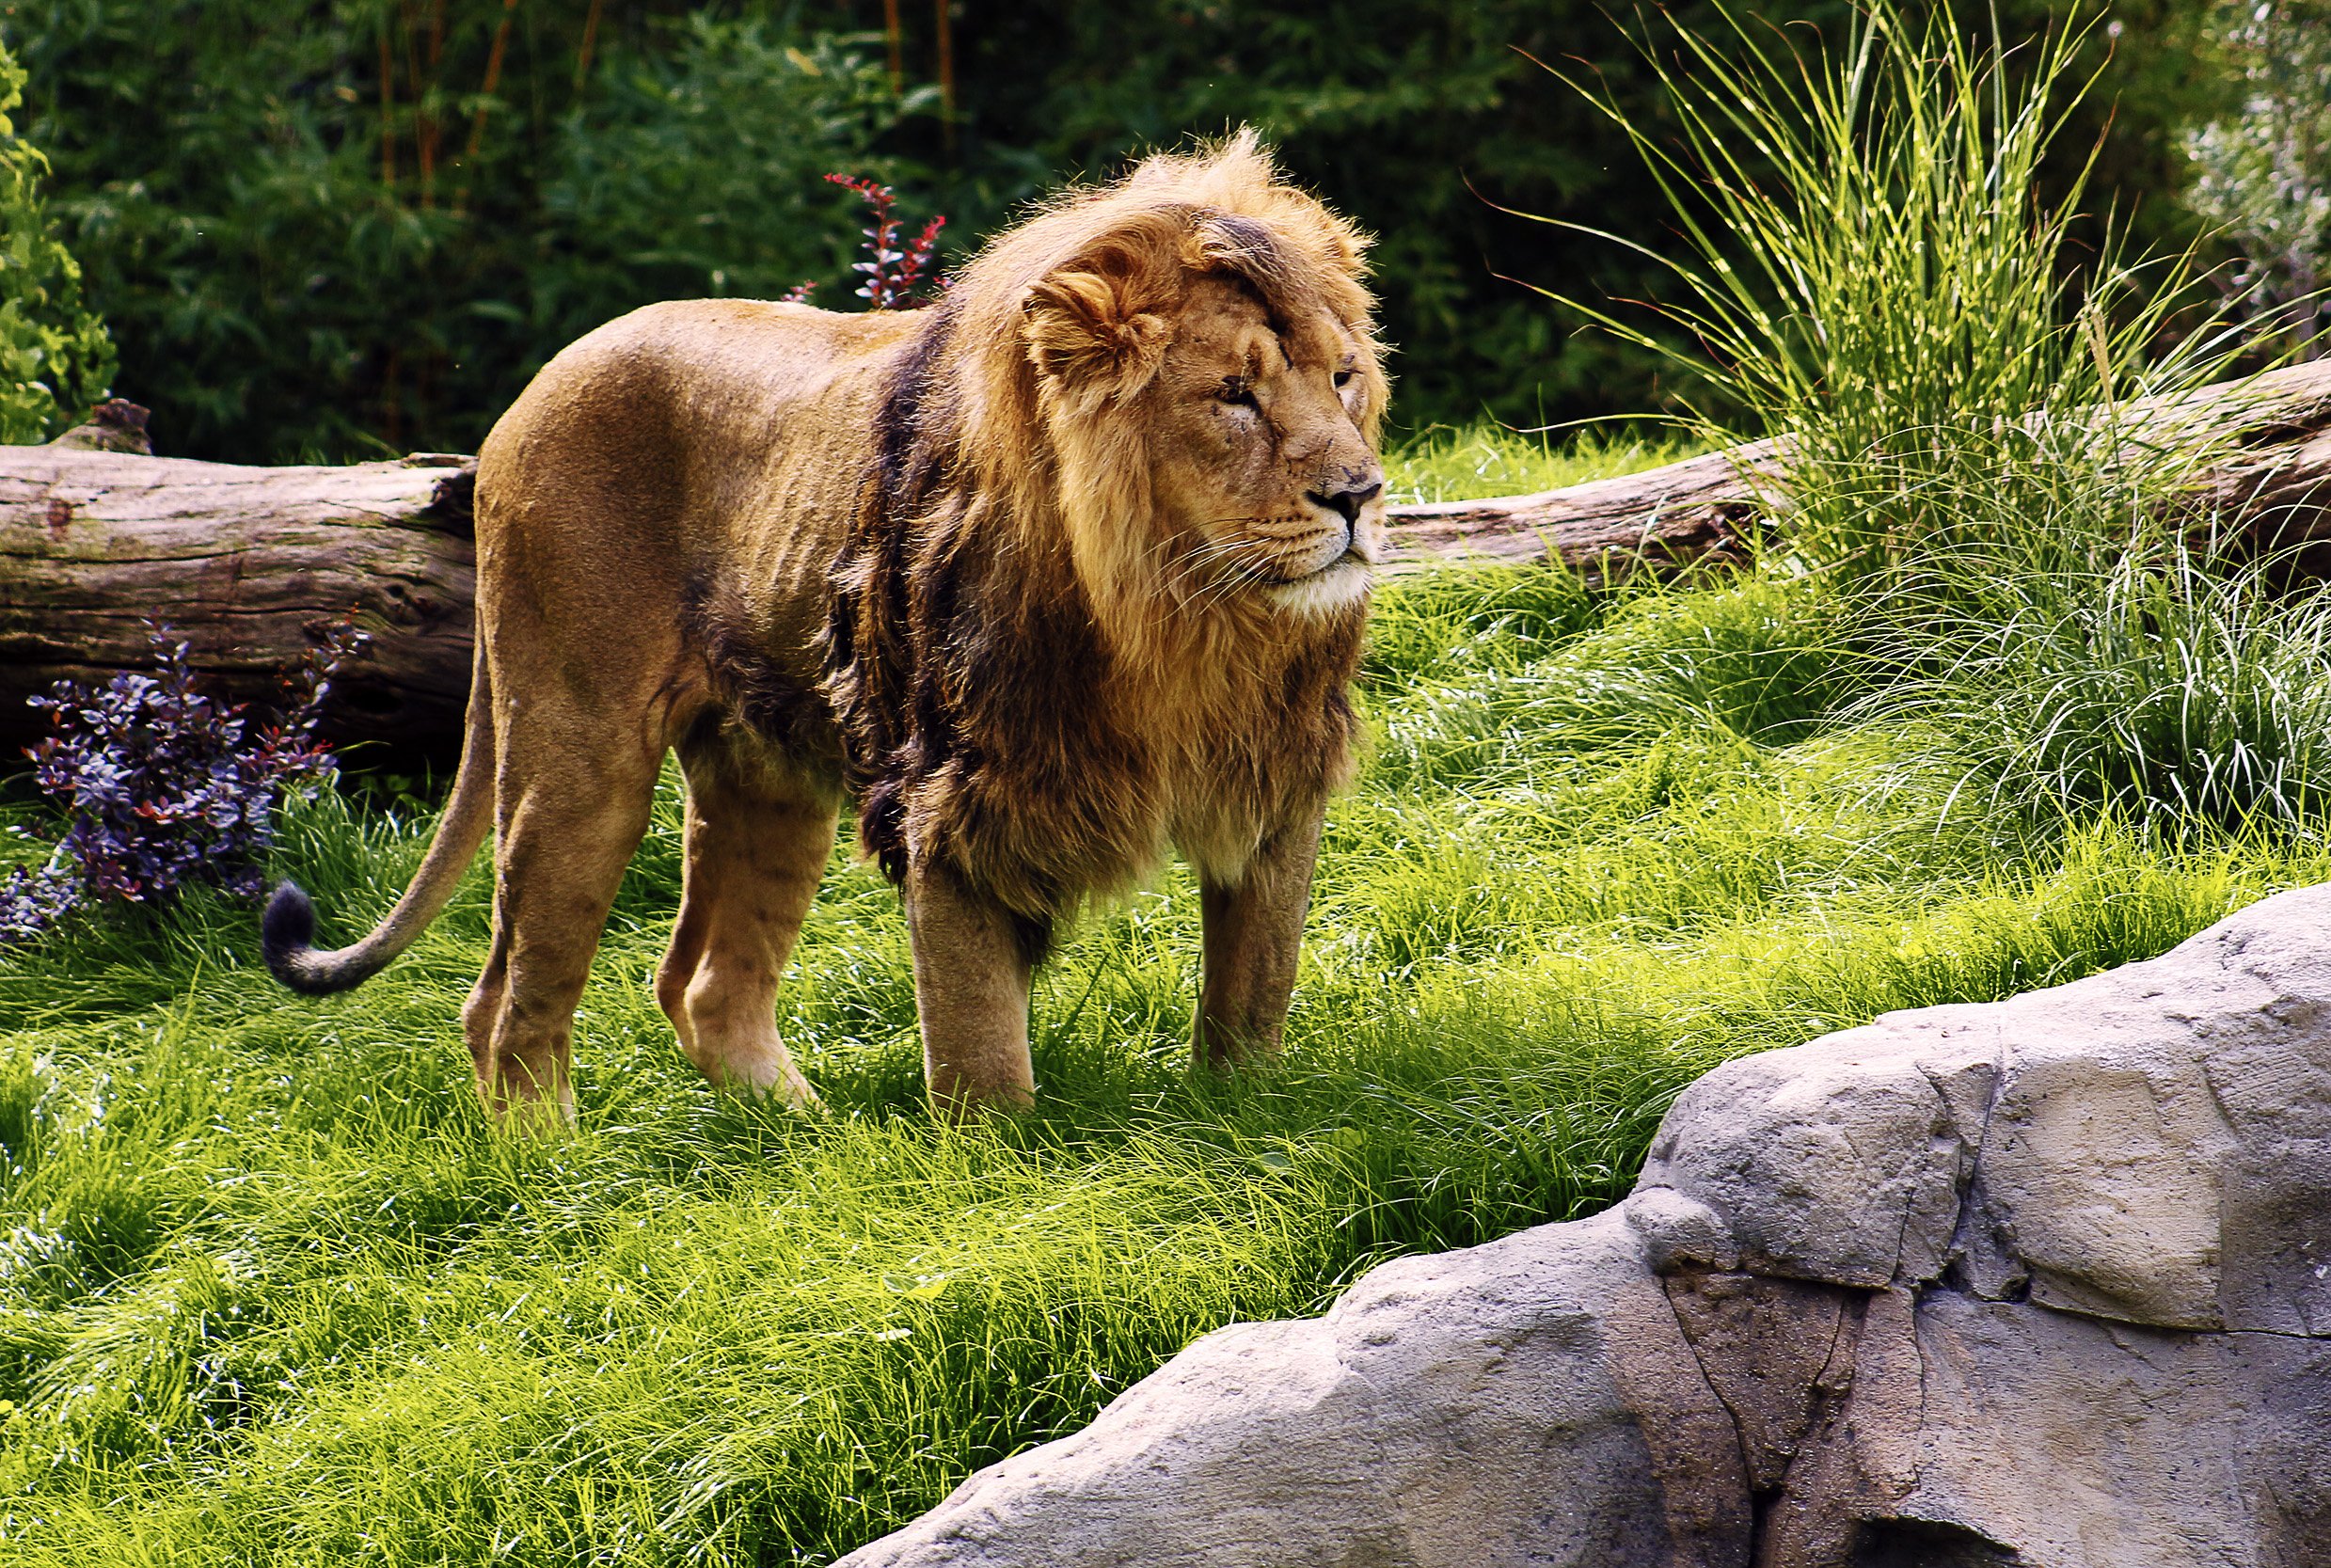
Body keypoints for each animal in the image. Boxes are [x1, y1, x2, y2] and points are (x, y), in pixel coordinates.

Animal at [260, 131, 1379, 1113]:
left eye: (1342, 377)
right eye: (1232, 394)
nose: (1361, 494)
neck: (1183, 613)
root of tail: (529, 392)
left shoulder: (1279, 780)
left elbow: (1253, 994)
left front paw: (1243, 1113)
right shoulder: (949, 796)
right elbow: (981, 1051)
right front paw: (1002, 1178)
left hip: (768, 775)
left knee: (703, 985)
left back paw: (806, 1137)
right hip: (578, 753)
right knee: (504, 1000)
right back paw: (552, 1170)